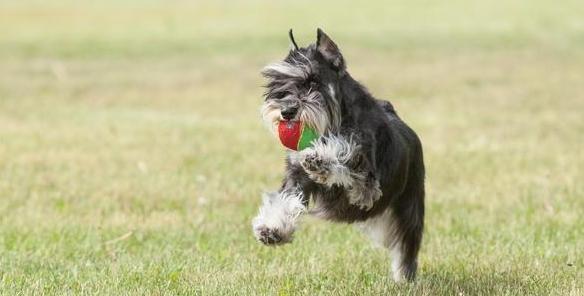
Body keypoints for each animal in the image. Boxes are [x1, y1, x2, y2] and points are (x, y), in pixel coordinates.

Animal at [251, 28, 424, 282]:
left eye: (313, 81)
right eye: (278, 83)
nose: (287, 111)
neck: (334, 122)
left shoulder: (366, 185)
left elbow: (345, 156)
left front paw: (320, 159)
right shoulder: (296, 177)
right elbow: (285, 200)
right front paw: (272, 229)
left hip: (410, 208)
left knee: (406, 247)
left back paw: (404, 278)